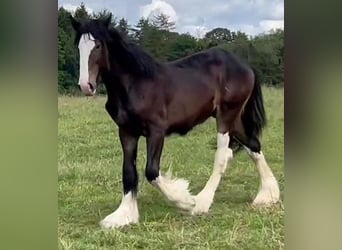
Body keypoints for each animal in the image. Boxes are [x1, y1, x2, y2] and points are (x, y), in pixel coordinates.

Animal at [69, 13, 278, 229]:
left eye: (98, 45)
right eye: (78, 46)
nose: (86, 85)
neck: (135, 83)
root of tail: (245, 65)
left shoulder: (156, 131)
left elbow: (151, 171)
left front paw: (185, 200)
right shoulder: (127, 132)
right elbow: (128, 171)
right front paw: (123, 215)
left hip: (226, 116)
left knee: (222, 155)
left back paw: (201, 202)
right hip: (233, 120)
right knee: (253, 145)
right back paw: (268, 195)